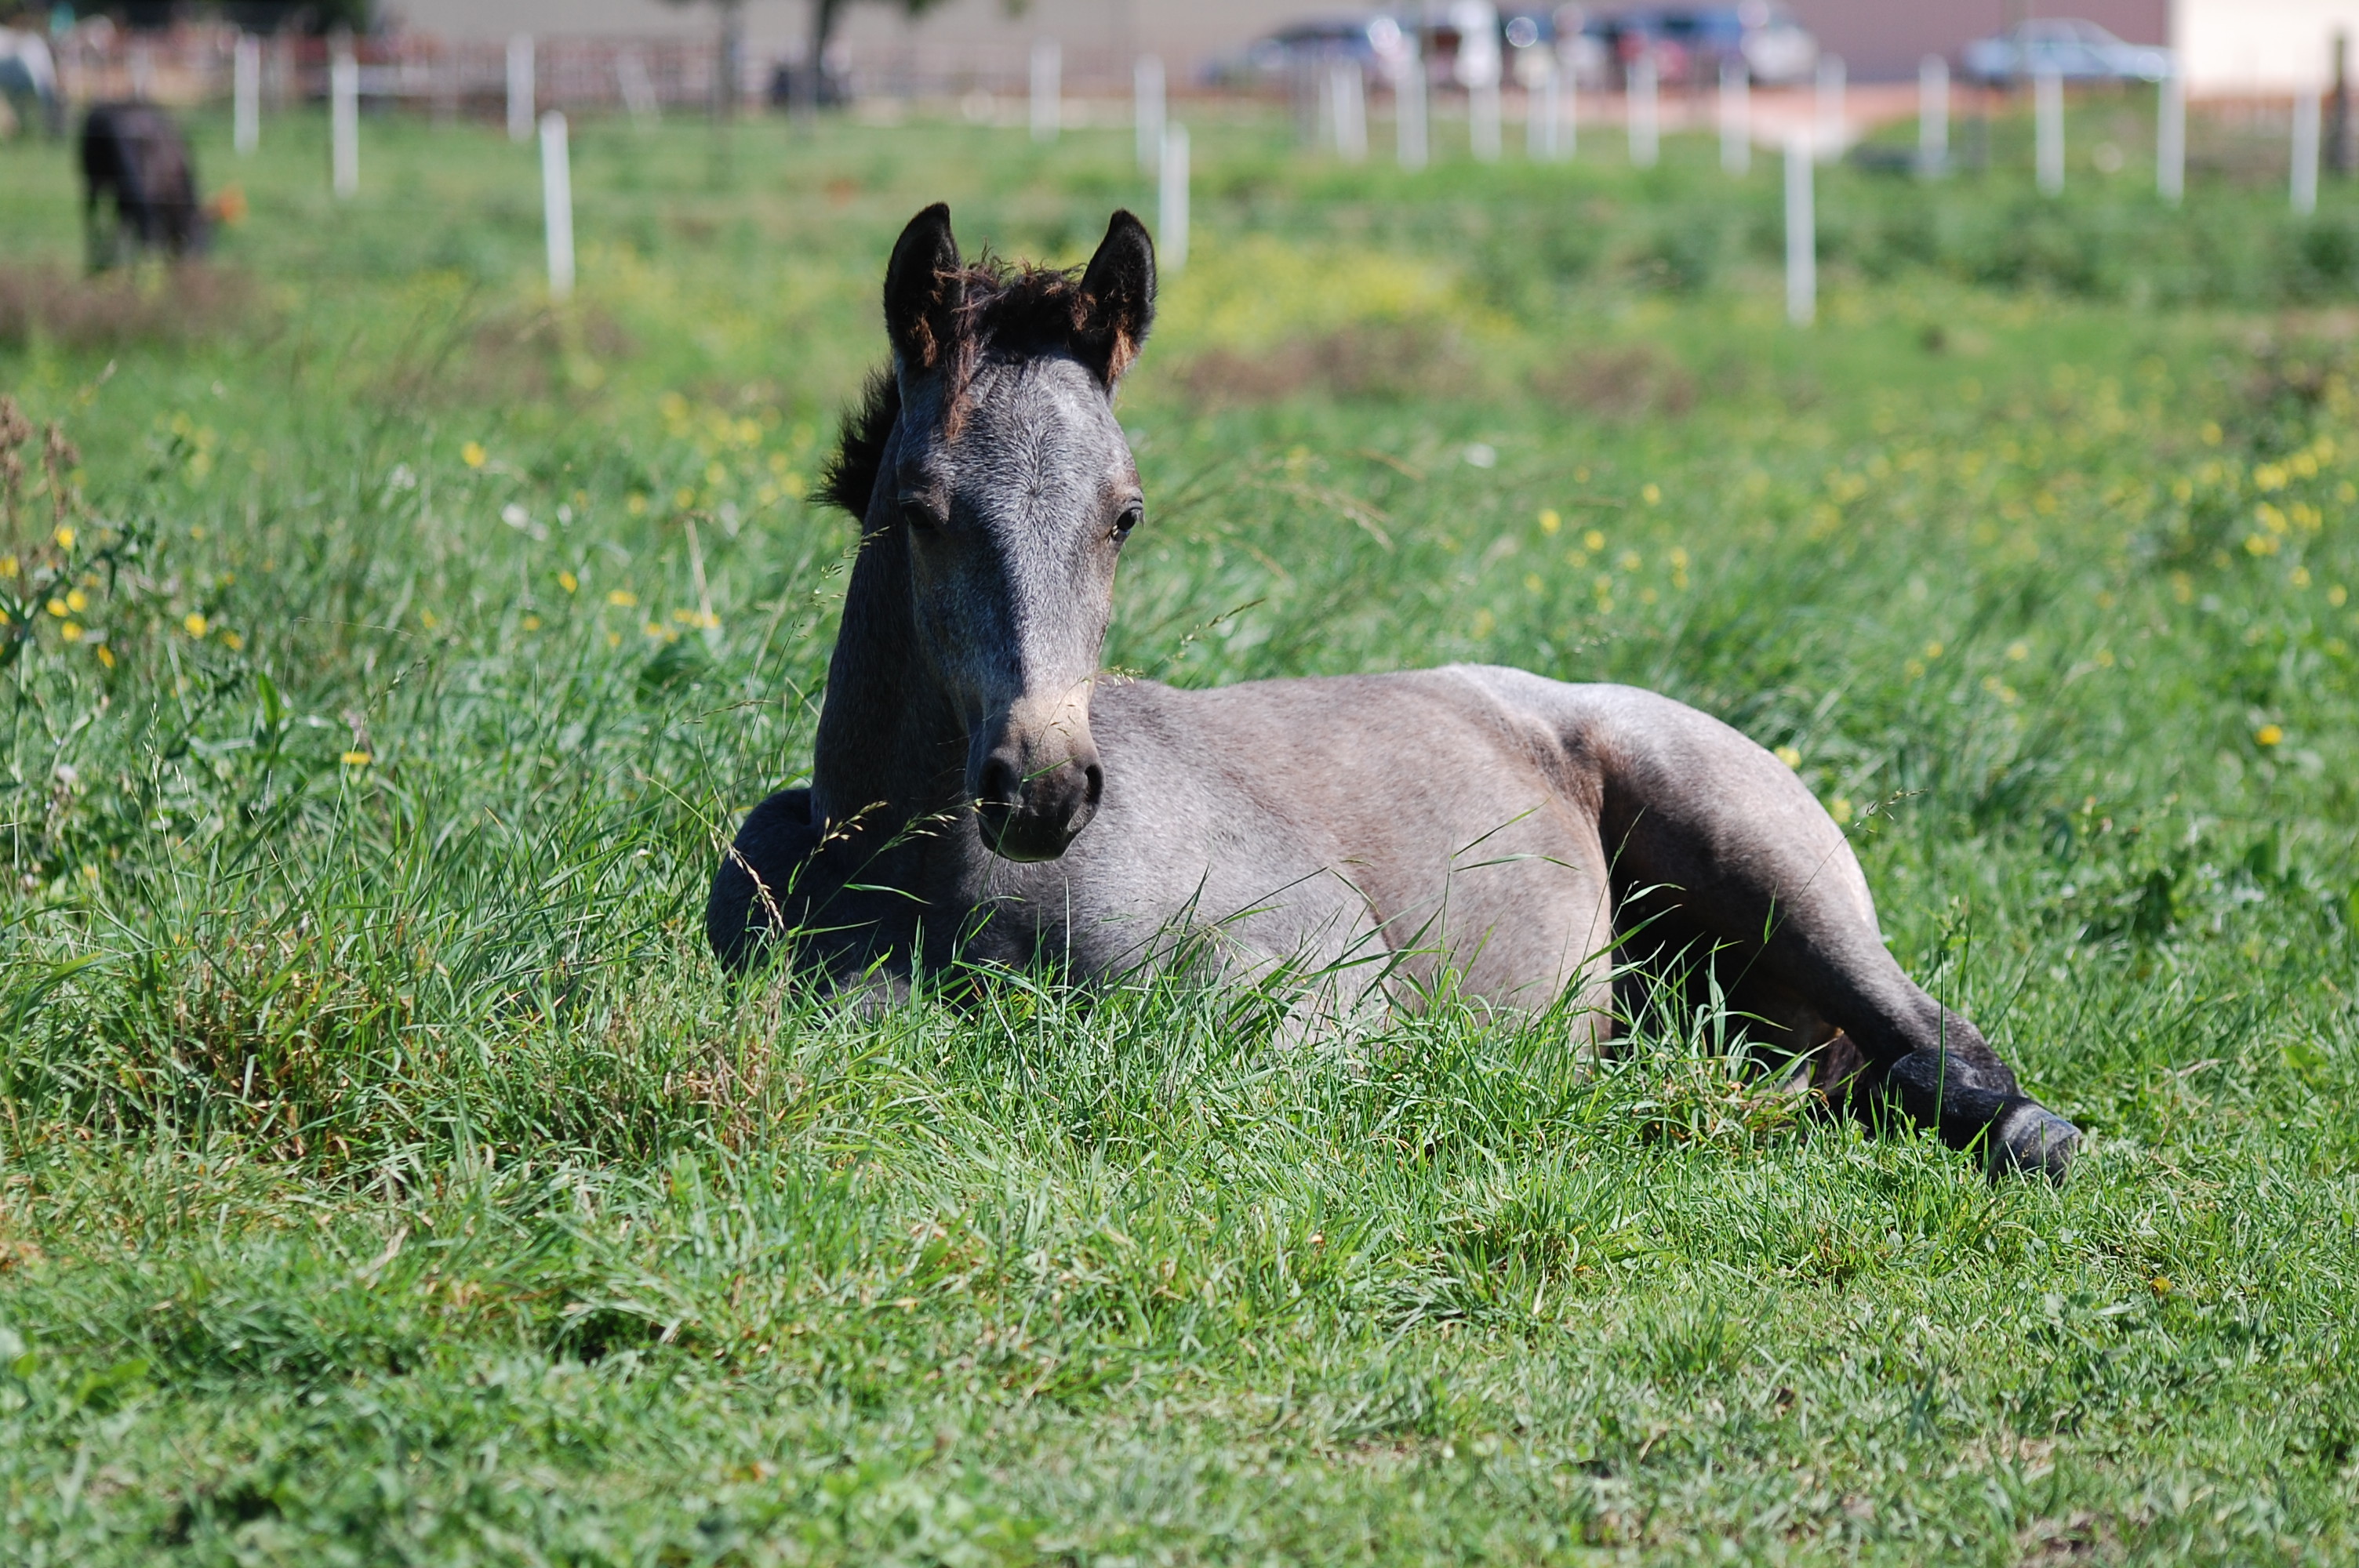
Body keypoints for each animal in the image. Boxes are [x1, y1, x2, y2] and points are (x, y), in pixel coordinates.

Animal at [712, 201, 2085, 1178]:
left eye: (1127, 515)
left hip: (1764, 864)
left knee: (1944, 1047)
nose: (1044, 789)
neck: (933, 883)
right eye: (921, 512)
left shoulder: (1326, 985)